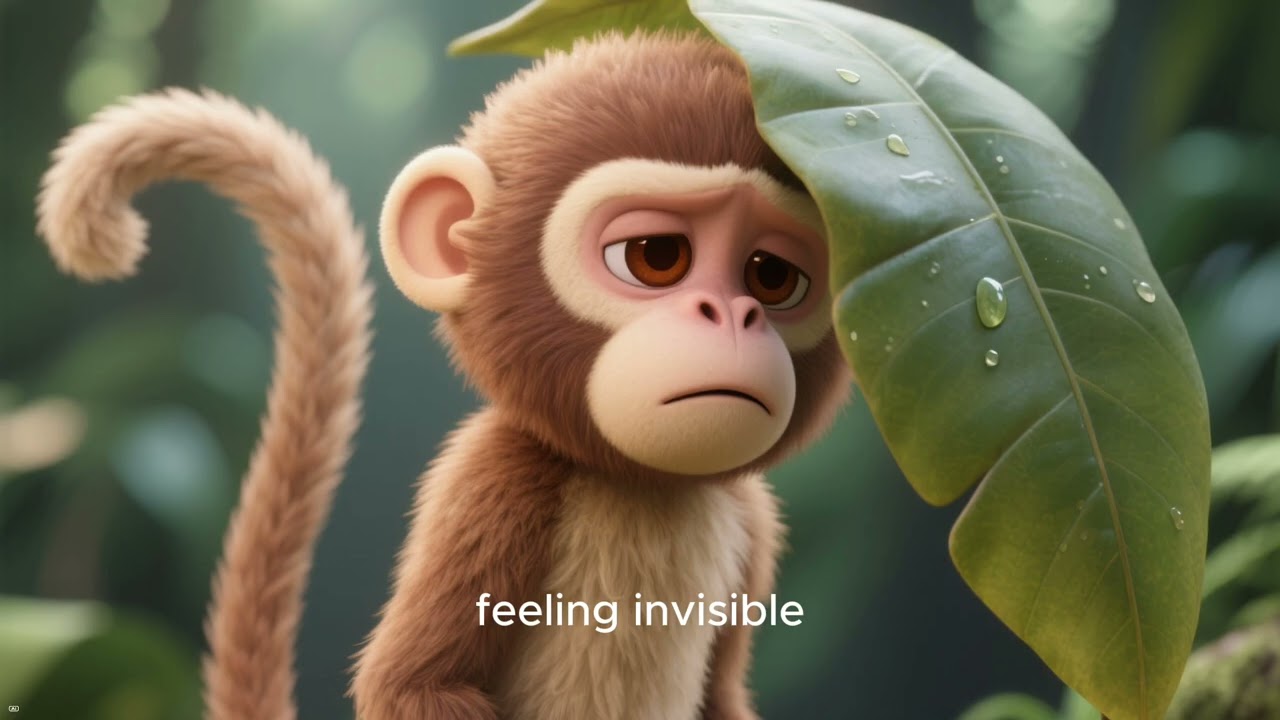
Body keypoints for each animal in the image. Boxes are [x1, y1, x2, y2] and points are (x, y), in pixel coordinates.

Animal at [36, 28, 849, 720]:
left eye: (772, 276)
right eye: (657, 256)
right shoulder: (495, 484)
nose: (734, 316)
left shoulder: (754, 521)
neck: (644, 485)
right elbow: (415, 686)